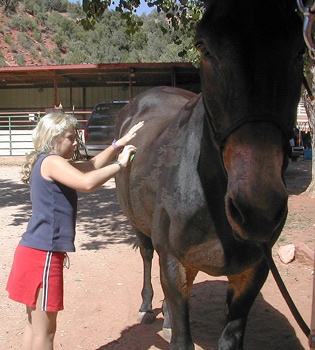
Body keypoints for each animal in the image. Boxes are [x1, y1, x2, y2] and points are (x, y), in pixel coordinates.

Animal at [115, 0, 308, 350]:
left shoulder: (252, 273)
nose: (257, 210)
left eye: (300, 49)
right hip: (139, 224)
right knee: (148, 255)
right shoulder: (175, 266)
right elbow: (182, 338)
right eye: (203, 46)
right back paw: (148, 307)